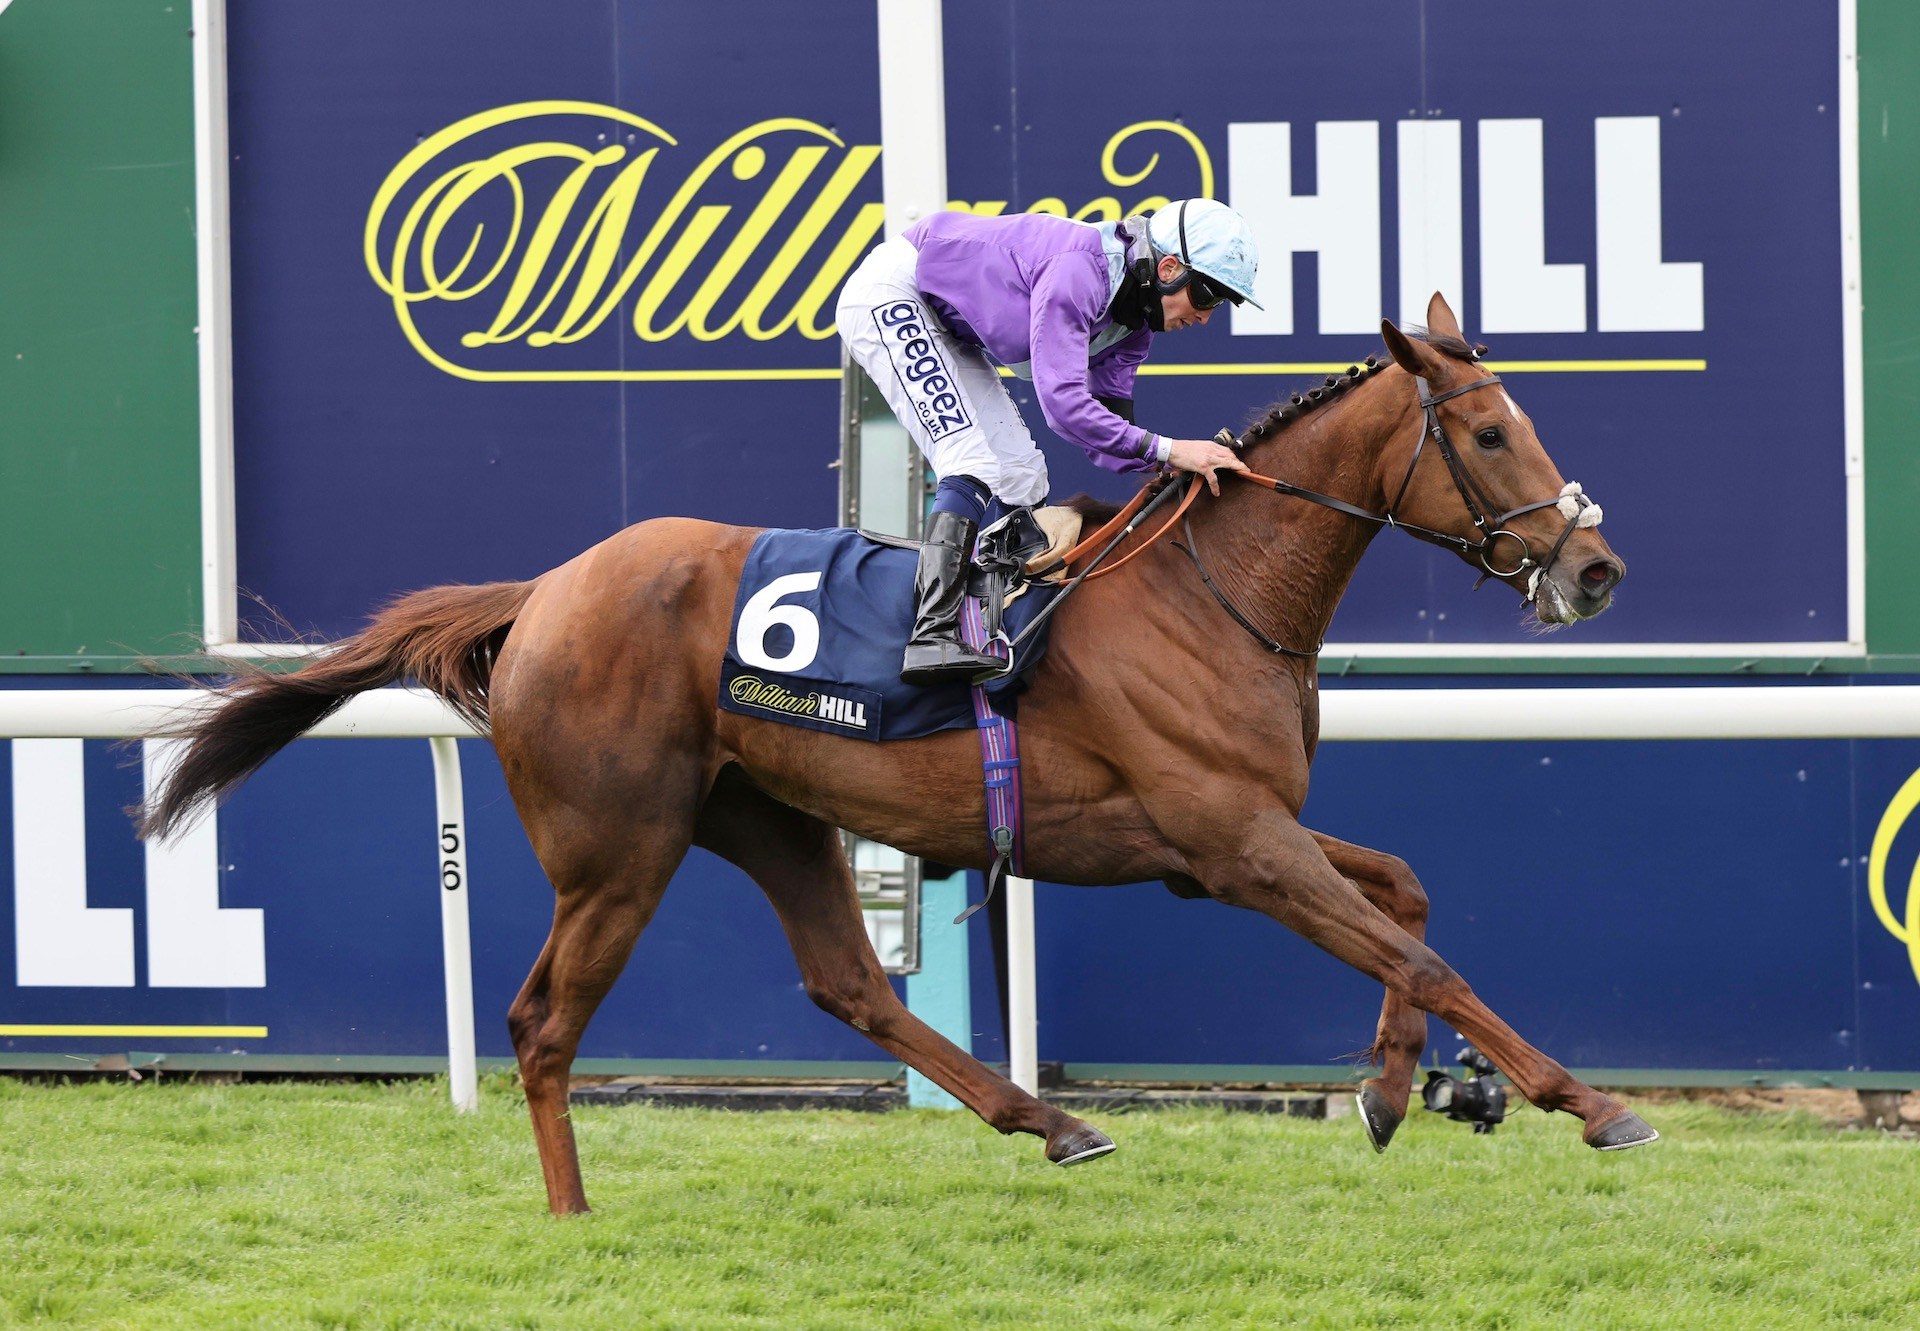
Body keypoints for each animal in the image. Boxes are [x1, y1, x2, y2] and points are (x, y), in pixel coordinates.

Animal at [145, 297, 1651, 1213]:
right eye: (1487, 429)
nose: (1596, 567)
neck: (1206, 590)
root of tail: (544, 591)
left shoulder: (1225, 840)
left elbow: (1407, 896)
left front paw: (1401, 1088)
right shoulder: (1234, 843)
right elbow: (1422, 950)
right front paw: (1585, 1100)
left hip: (770, 814)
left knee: (848, 981)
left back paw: (1050, 1119)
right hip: (618, 850)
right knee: (540, 1021)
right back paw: (571, 1212)